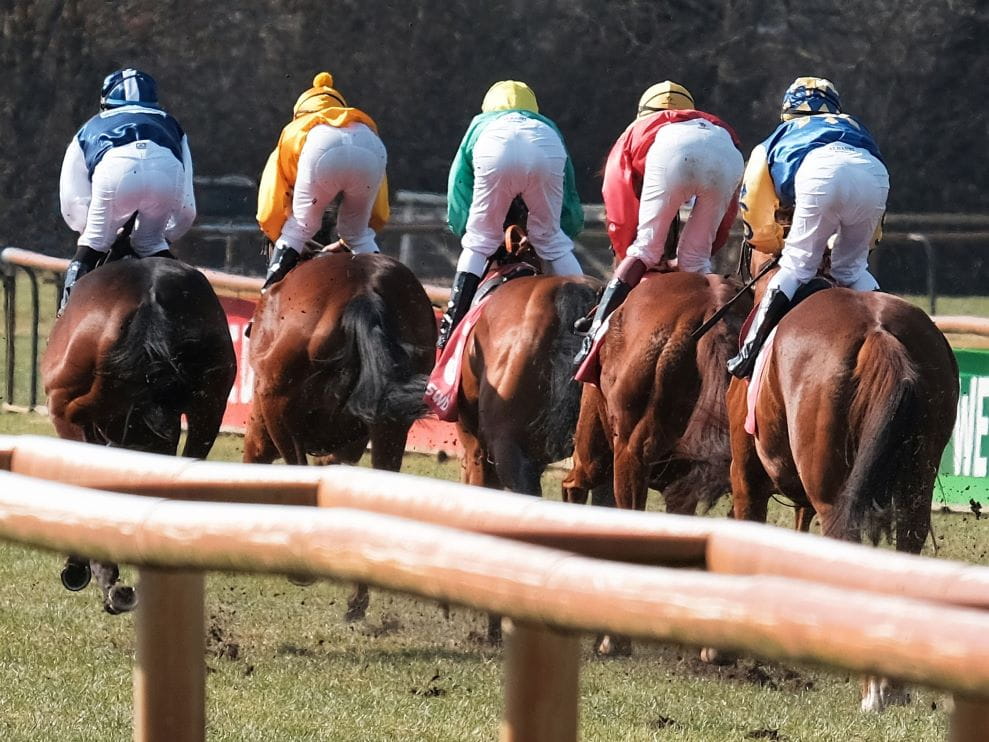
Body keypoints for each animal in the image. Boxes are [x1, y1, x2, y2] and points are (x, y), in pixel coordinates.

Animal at [724, 247, 956, 712]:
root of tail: (881, 336)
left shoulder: (746, 478)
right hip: (917, 479)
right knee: (907, 538)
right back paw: (891, 683)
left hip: (833, 494)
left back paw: (872, 689)